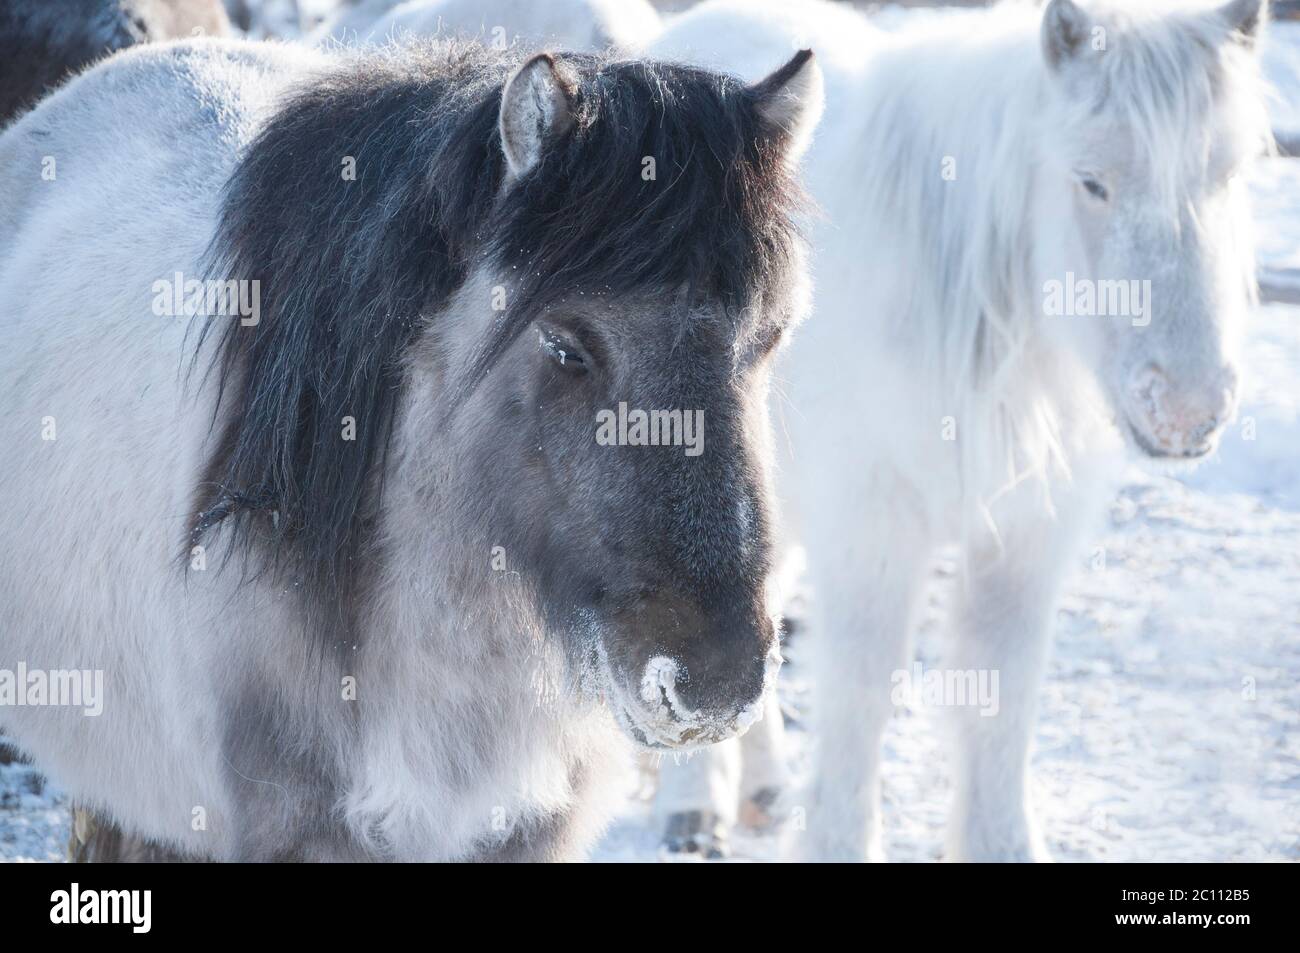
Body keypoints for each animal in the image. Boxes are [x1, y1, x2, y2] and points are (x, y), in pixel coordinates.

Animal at [652, 0, 1271, 861]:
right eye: (1091, 181)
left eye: (1228, 175)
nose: (1186, 408)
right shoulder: (874, 528)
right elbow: (861, 693)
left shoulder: (1025, 537)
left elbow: (1001, 703)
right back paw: (692, 805)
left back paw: (764, 787)